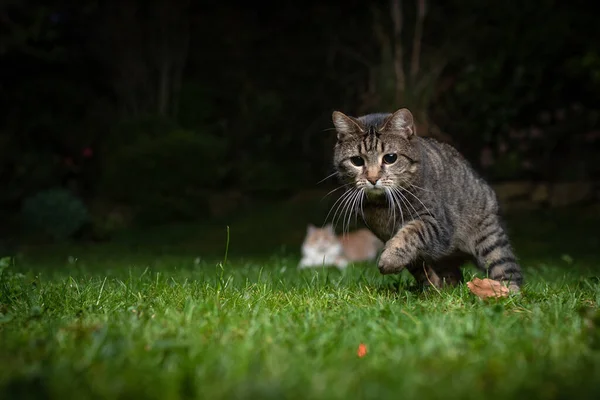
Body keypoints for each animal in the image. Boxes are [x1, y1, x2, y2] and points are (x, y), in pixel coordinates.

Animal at [330, 108, 524, 292]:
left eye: (390, 158)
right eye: (357, 161)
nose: (372, 178)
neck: (383, 206)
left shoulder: (436, 223)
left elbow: (411, 232)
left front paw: (390, 259)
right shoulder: (386, 235)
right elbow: (419, 267)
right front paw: (431, 288)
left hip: (490, 239)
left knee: (508, 270)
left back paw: (506, 292)